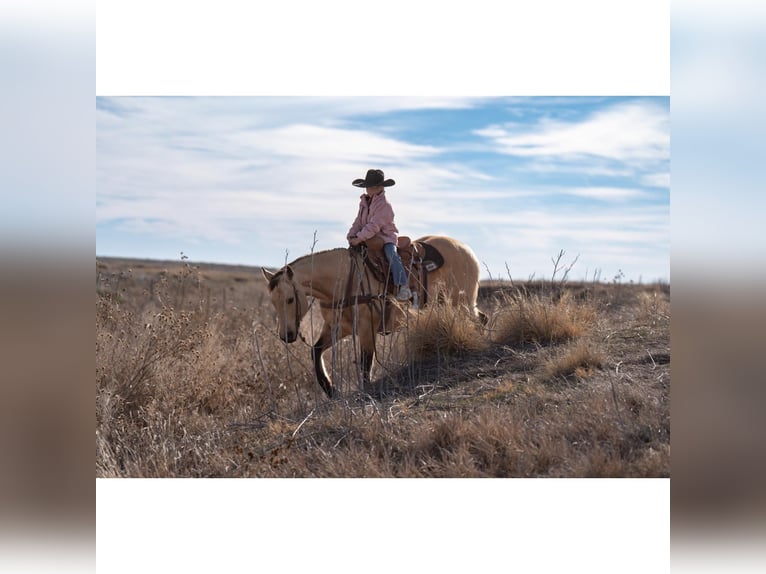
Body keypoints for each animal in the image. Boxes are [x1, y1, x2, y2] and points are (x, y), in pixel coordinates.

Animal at [260, 236, 484, 398]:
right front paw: (331, 390)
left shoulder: (367, 330)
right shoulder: (337, 328)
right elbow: (316, 352)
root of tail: (466, 249)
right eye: (273, 302)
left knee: (479, 320)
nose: (287, 335)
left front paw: (364, 392)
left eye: (290, 299)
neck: (344, 281)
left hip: (463, 302)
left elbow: (366, 364)